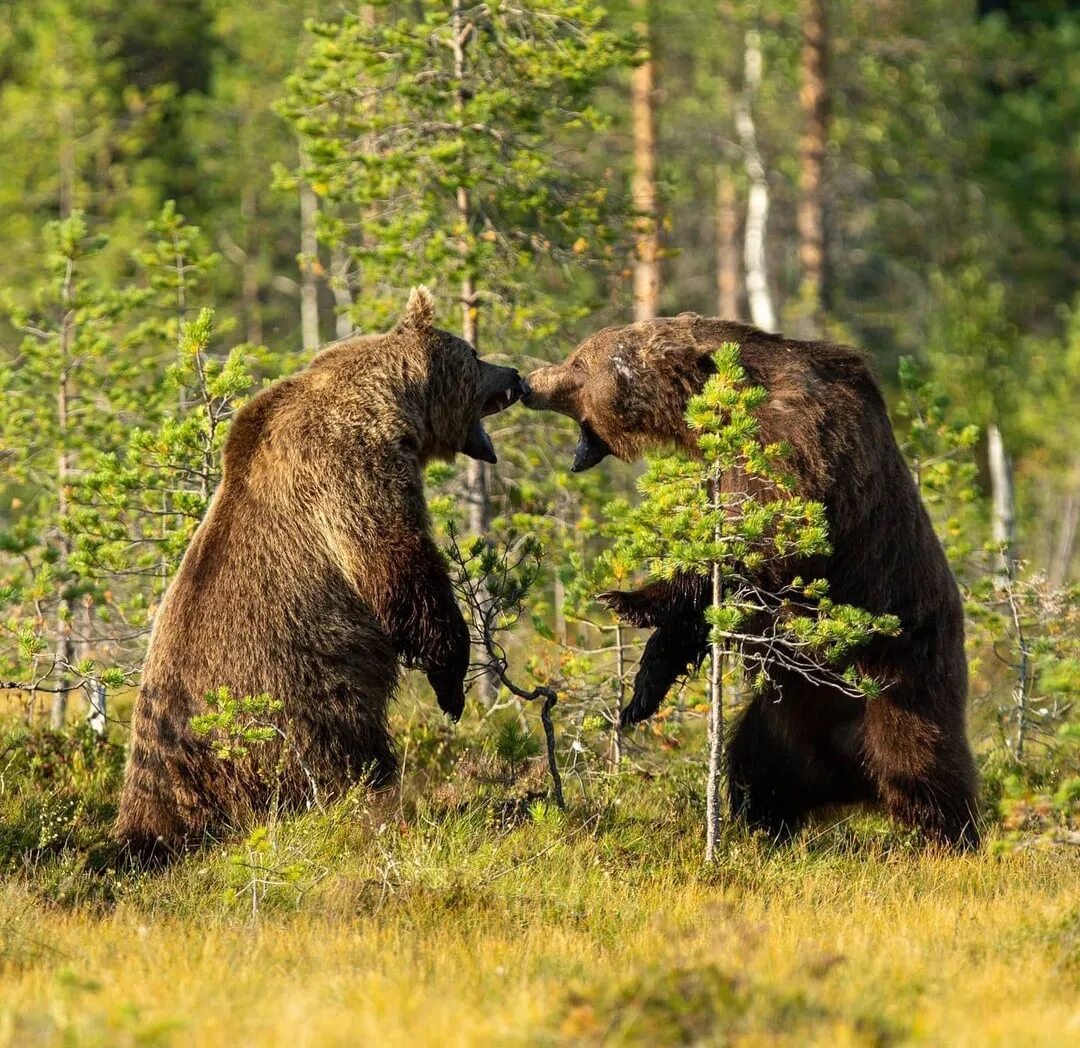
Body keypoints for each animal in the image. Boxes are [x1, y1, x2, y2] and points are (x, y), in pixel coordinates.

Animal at [116, 287, 520, 860]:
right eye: (475, 355)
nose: (516, 376)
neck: (394, 409)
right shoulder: (351, 469)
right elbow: (399, 564)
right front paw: (450, 680)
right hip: (296, 694)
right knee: (344, 751)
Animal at [522, 313, 980, 851]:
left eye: (579, 361)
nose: (528, 381)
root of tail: (851, 780)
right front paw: (642, 691)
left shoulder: (800, 450)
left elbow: (759, 546)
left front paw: (627, 598)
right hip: (788, 718)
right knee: (756, 767)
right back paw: (761, 827)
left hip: (899, 677)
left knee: (921, 762)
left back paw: (950, 839)